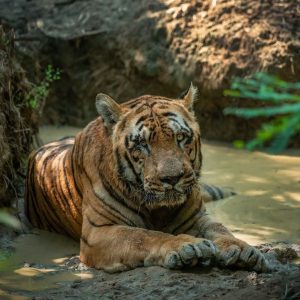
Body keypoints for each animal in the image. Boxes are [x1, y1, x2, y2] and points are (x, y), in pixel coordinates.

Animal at [25, 84, 268, 272]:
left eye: (181, 137)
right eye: (142, 144)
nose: (172, 178)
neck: (158, 209)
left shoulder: (197, 217)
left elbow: (220, 228)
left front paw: (242, 249)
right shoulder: (98, 231)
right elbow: (144, 236)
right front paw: (186, 246)